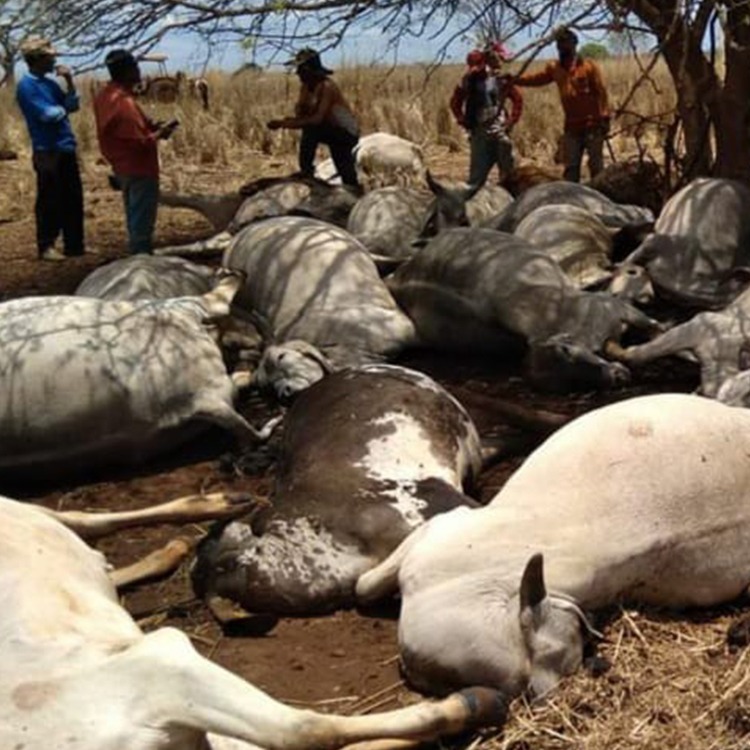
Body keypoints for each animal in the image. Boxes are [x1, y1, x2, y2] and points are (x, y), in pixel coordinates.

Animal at [0, 494, 512, 750]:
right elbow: (310, 732)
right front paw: (470, 705)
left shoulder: (162, 663)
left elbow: (305, 730)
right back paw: (171, 546)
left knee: (83, 518)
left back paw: (218, 505)